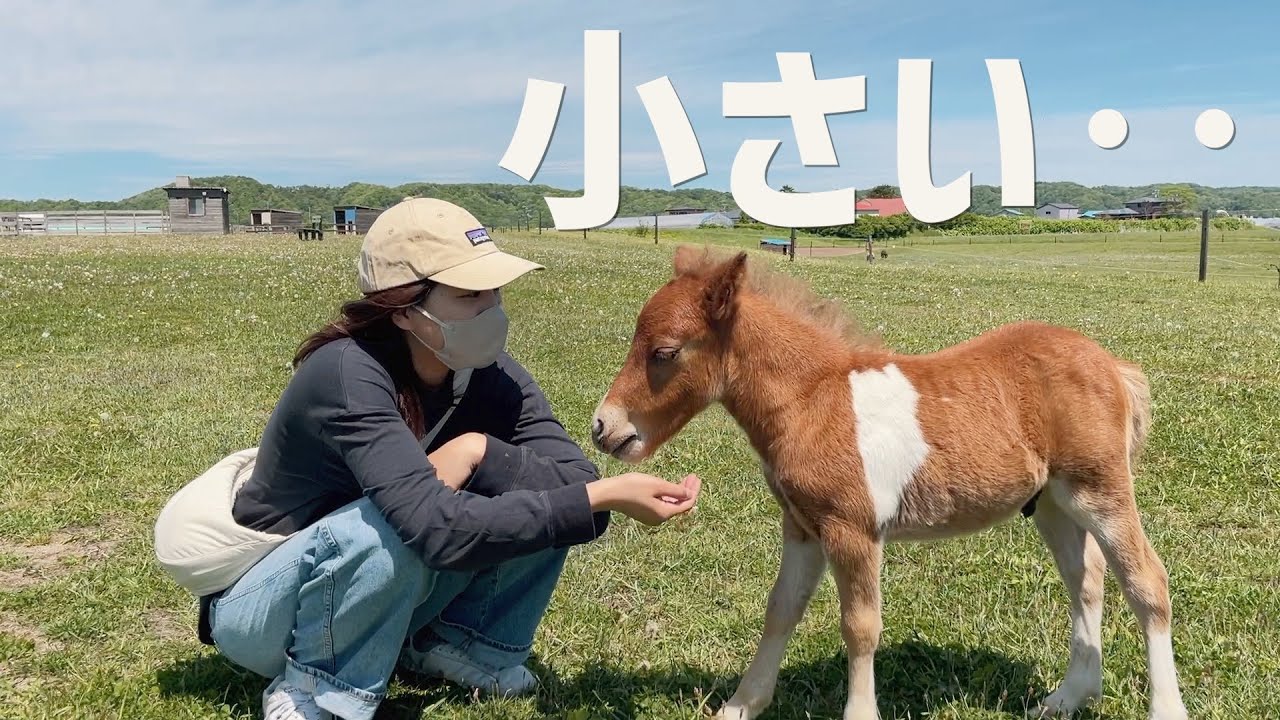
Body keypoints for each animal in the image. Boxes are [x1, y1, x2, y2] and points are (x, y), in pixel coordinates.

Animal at [590, 246, 1187, 720]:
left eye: (665, 352)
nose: (604, 427)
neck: (813, 401)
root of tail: (1112, 365)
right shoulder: (802, 525)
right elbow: (781, 609)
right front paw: (740, 705)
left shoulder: (853, 528)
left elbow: (860, 626)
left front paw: (858, 713)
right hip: (1053, 503)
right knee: (1085, 579)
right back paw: (1068, 697)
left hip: (1101, 488)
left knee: (1147, 583)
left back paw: (1163, 708)